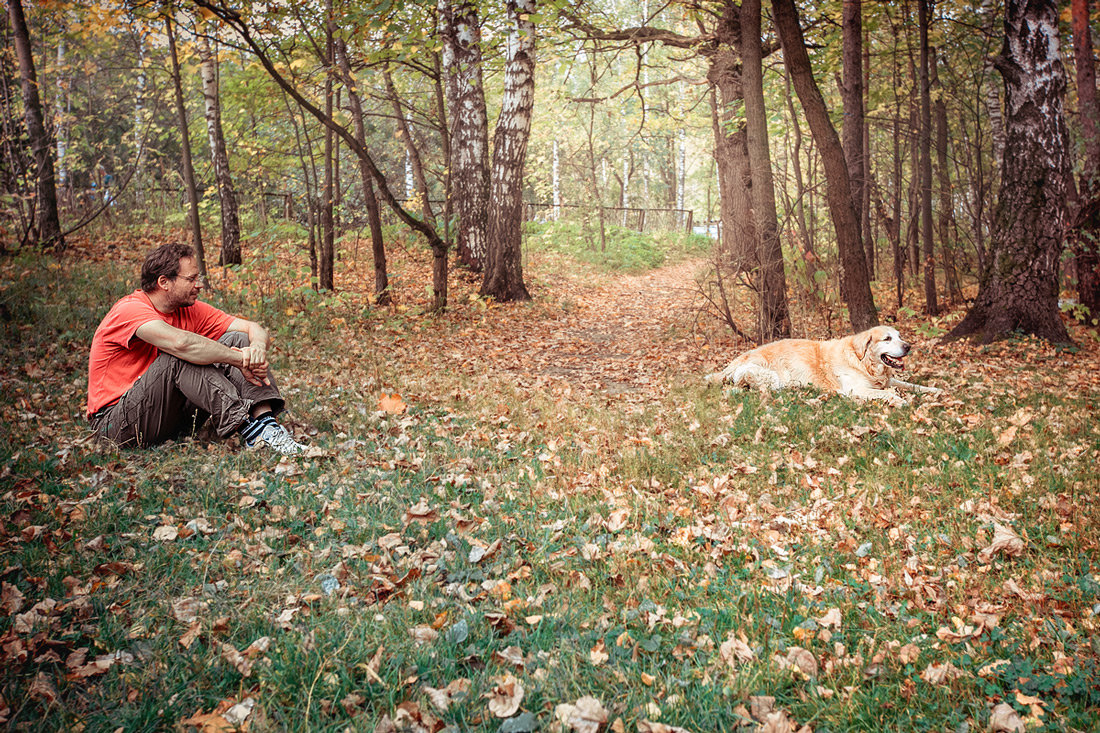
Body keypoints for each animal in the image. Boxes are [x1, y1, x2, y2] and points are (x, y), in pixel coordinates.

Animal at [708, 325, 941, 405]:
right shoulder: (856, 389)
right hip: (771, 377)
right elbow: (886, 393)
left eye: (899, 336)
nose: (908, 346)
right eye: (887, 339)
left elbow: (912, 385)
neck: (862, 361)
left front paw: (935, 390)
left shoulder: (888, 380)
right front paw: (900, 401)